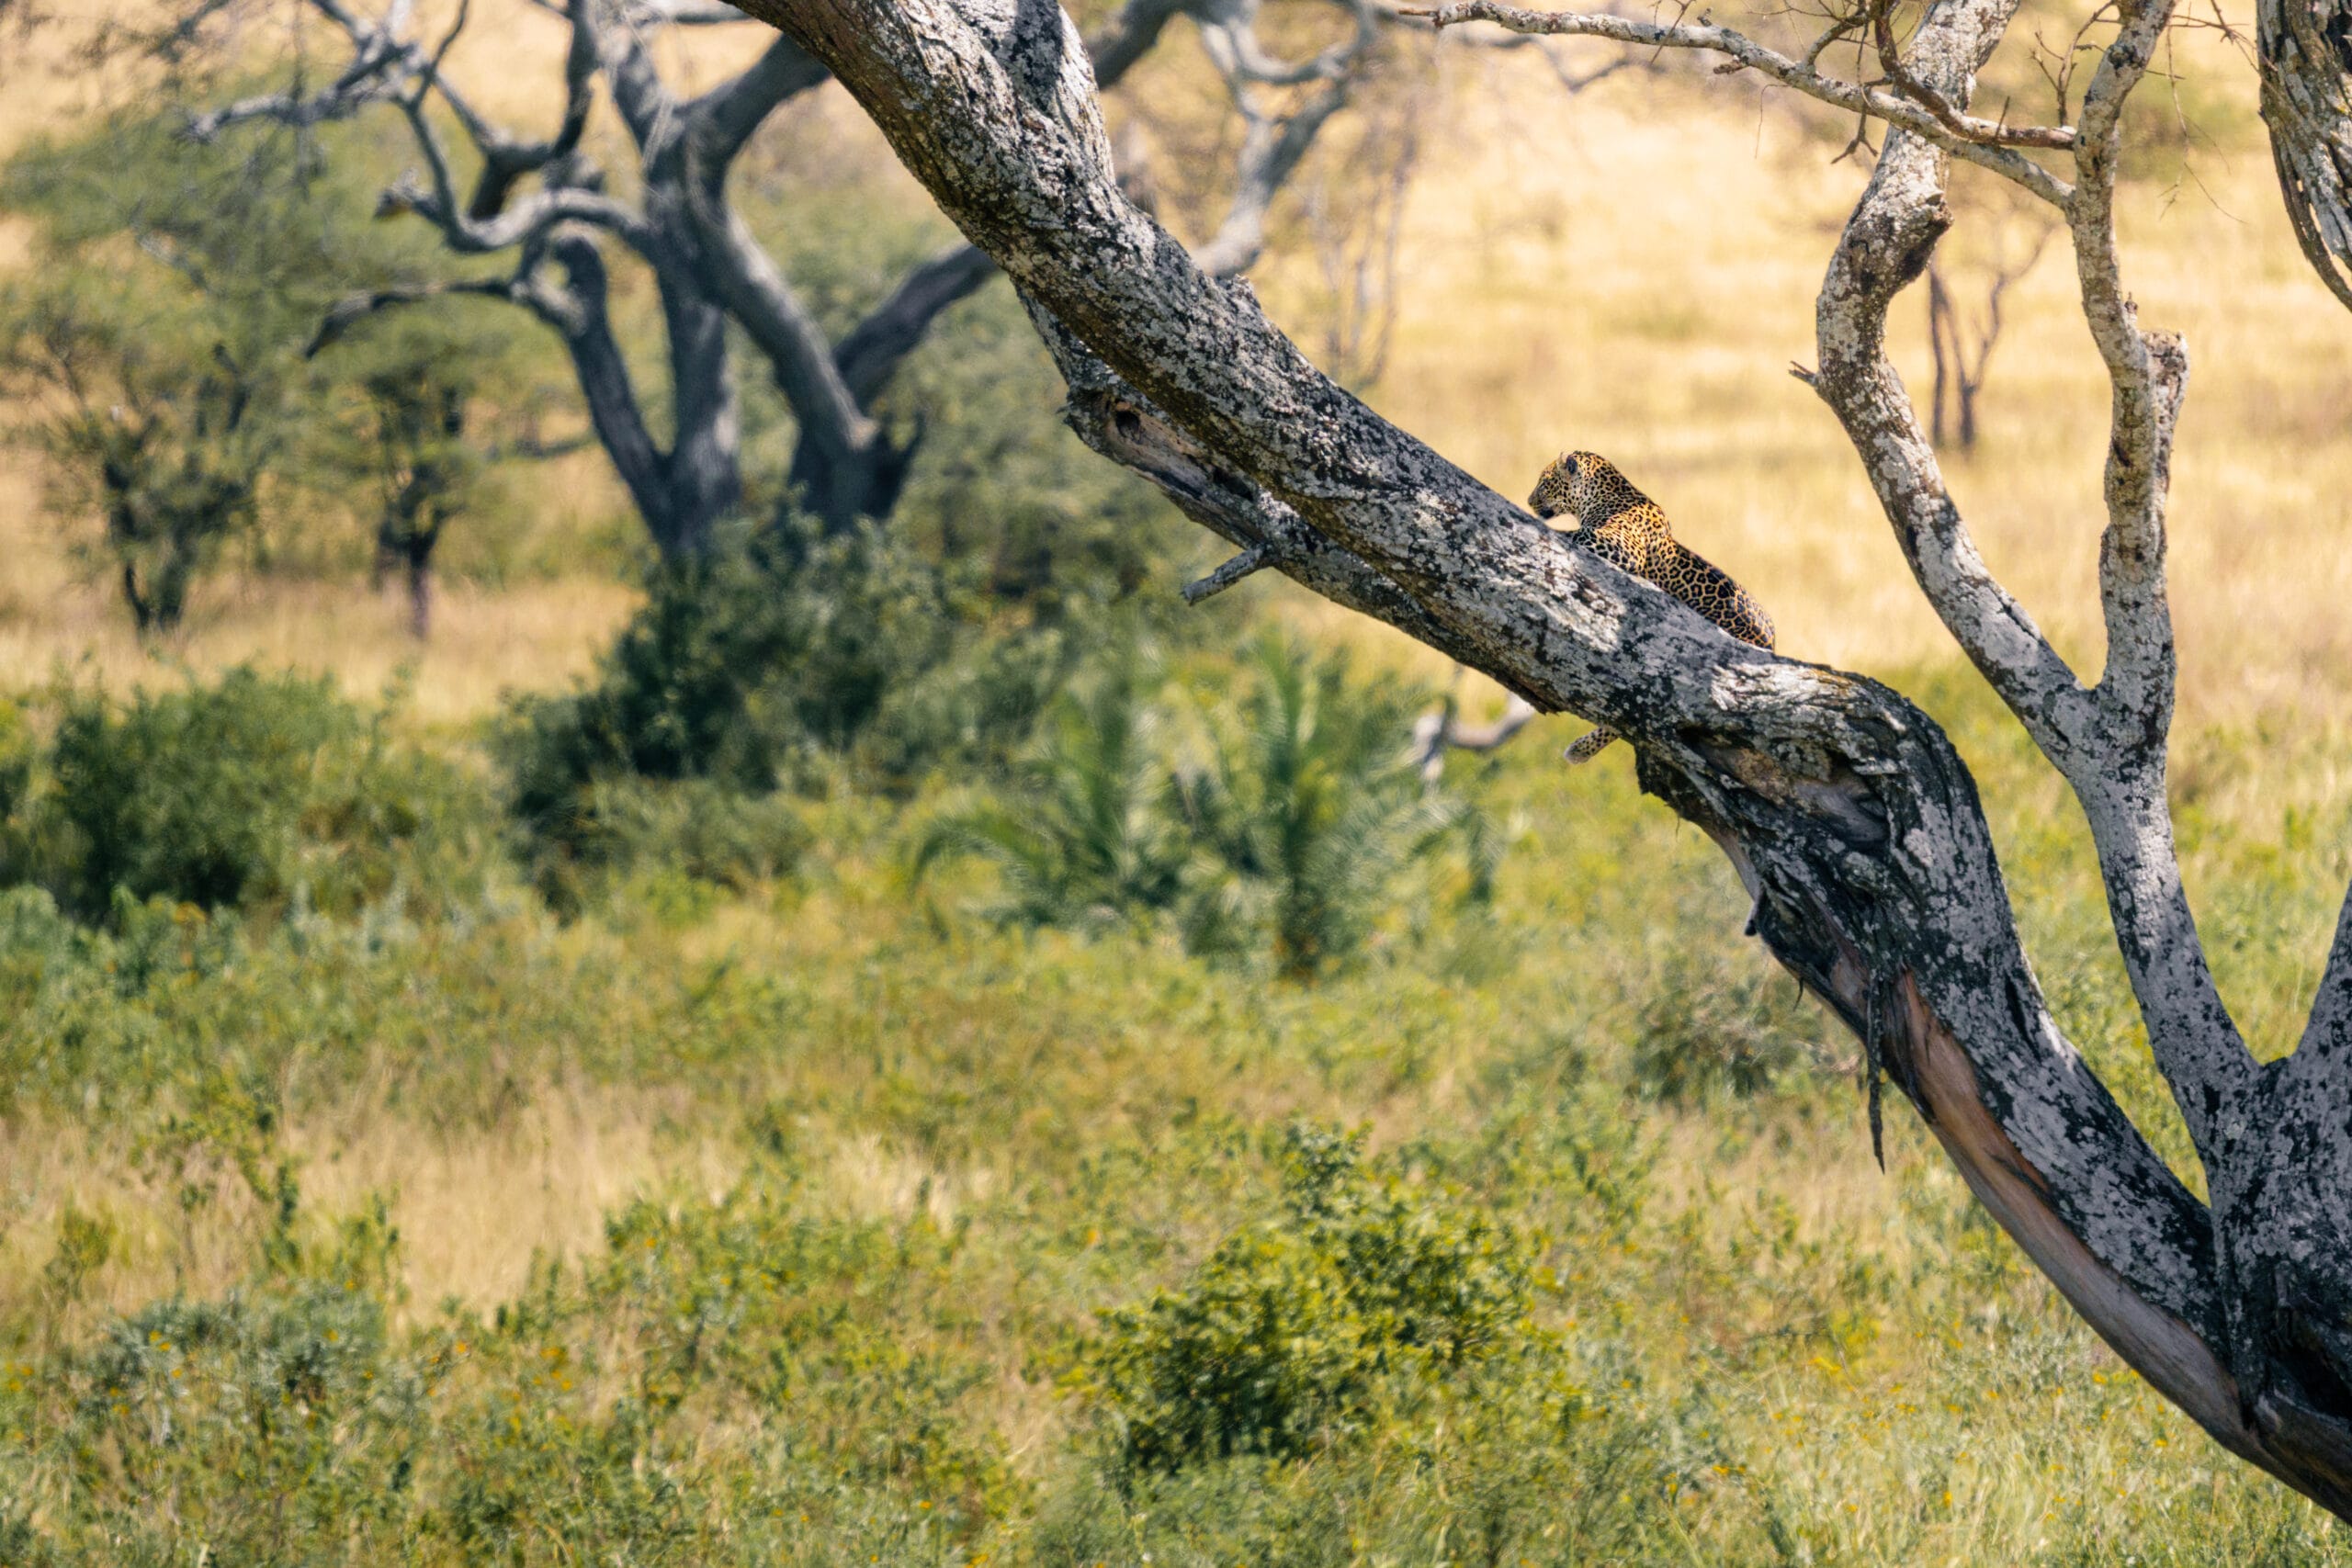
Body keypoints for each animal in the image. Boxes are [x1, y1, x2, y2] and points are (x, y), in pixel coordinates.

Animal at [1526, 451, 1775, 763]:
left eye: (1544, 482)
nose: (1529, 501)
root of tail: (1773, 646)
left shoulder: (1621, 546)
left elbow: (1577, 534)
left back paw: (1580, 750)